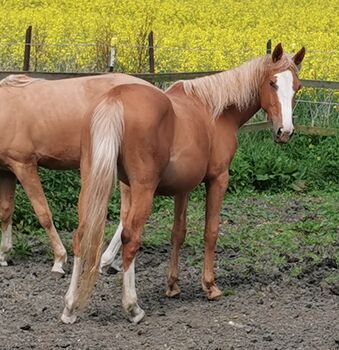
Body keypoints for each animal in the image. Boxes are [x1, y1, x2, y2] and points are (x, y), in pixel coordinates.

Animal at [0, 73, 153, 274]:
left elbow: (43, 214)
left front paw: (59, 259)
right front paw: (3, 254)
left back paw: (106, 260)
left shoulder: (24, 166)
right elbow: (5, 211)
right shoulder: (7, 171)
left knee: (126, 214)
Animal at [61, 44, 308, 326]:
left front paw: (173, 285)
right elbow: (211, 231)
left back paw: (70, 307)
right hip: (143, 190)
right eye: (272, 83)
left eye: (297, 86)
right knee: (130, 239)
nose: (284, 132)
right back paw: (133, 308)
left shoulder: (183, 188)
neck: (215, 111)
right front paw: (210, 286)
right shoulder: (218, 179)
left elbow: (178, 233)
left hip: (93, 183)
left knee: (82, 235)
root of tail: (115, 99)